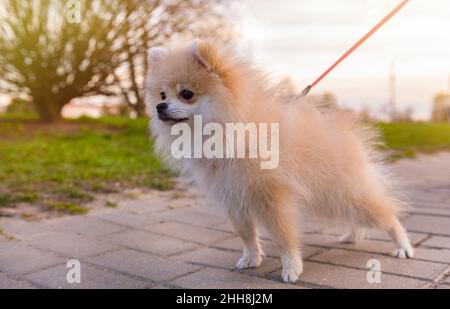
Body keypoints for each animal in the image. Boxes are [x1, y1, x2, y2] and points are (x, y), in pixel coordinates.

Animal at [146, 40, 414, 282]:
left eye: (187, 94)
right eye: (162, 93)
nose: (160, 106)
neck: (231, 133)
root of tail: (349, 136)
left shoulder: (272, 197)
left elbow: (283, 236)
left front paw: (291, 268)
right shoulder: (233, 196)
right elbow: (246, 234)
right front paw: (251, 259)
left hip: (346, 192)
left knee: (388, 215)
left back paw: (402, 246)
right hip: (330, 198)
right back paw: (352, 235)